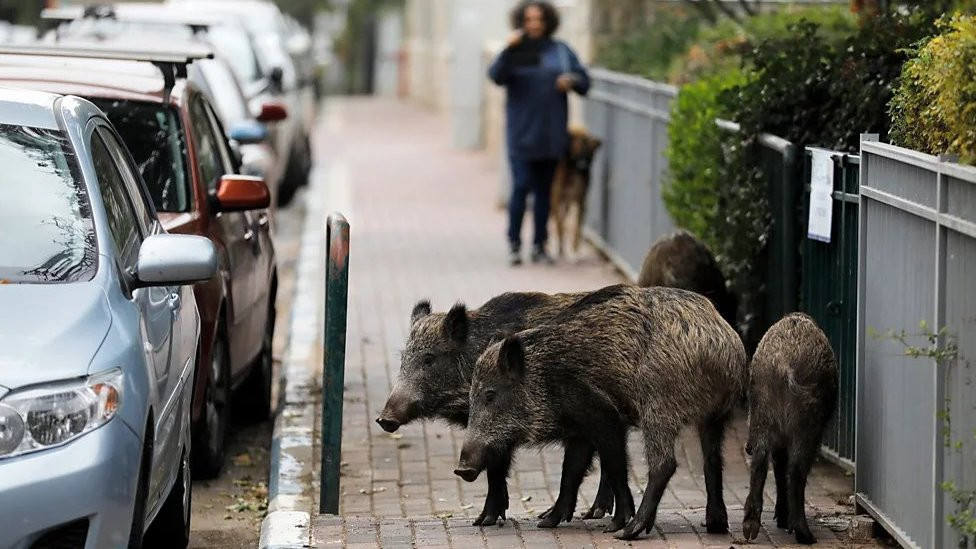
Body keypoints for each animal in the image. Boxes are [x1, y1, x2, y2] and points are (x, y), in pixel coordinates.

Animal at [552, 127, 600, 258]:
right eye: (576, 144)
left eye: (587, 145)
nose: (583, 164)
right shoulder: (557, 200)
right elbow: (560, 224)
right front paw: (561, 247)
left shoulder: (581, 202)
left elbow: (578, 228)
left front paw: (574, 248)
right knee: (557, 221)